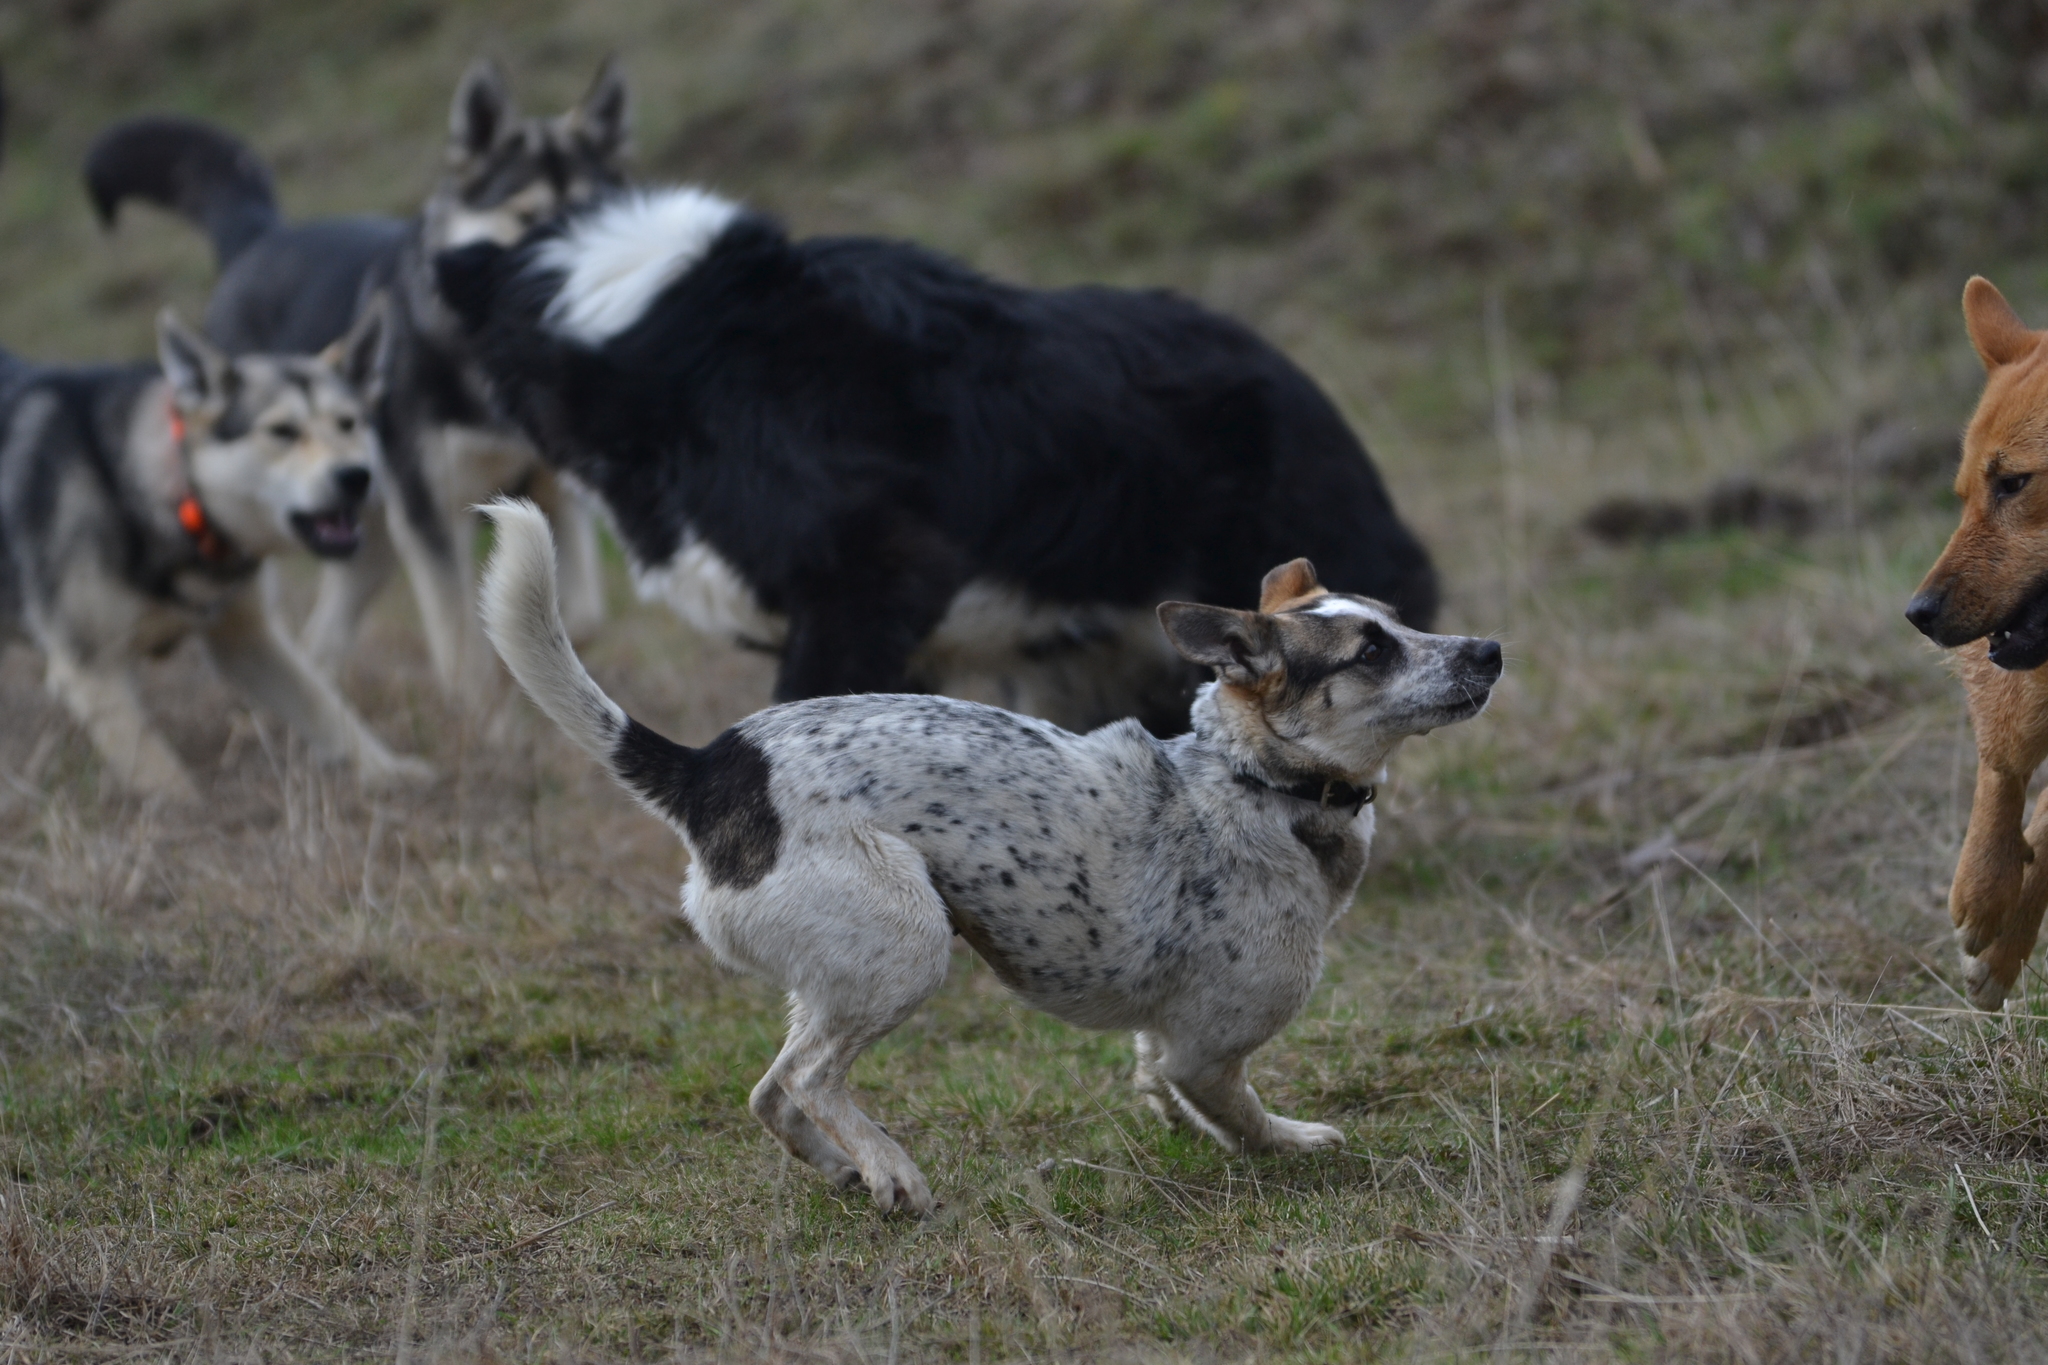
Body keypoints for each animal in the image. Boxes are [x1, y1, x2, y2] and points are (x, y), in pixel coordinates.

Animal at [0, 296, 432, 802]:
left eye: (350, 424)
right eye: (282, 431)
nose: (358, 476)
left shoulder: (250, 638)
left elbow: (327, 707)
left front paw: (388, 770)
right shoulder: (90, 668)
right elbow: (155, 767)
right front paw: (187, 810)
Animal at [86, 58, 630, 699]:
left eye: (597, 218)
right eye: (527, 218)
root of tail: (259, 235)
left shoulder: (549, 488)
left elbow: (583, 617)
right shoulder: (428, 513)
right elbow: (461, 654)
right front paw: (485, 701)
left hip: (364, 535)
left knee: (320, 641)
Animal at [481, 501, 1507, 1219]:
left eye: (1400, 620)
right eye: (1370, 651)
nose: (1491, 647)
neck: (1251, 780)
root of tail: (710, 767)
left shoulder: (1165, 1039)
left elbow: (1159, 1082)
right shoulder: (1212, 1045)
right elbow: (1240, 1112)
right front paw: (1286, 1143)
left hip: (841, 972)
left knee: (773, 1092)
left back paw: (843, 1166)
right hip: (908, 944)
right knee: (812, 1079)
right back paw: (890, 1169)